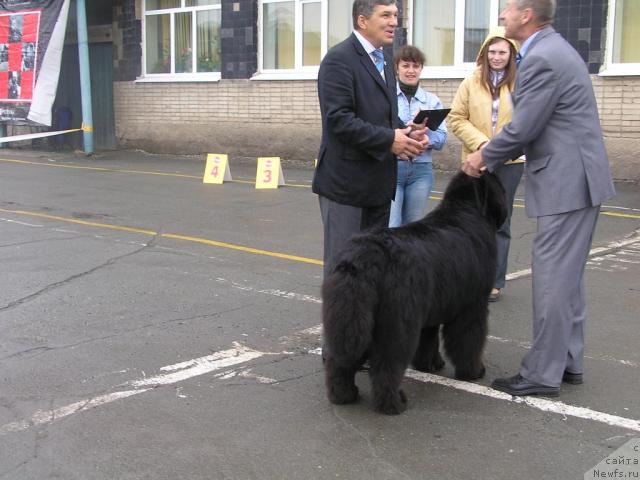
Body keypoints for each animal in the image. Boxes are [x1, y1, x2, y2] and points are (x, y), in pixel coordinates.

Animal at [322, 171, 508, 414]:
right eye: (501, 187)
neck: (467, 209)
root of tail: (363, 257)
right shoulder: (472, 307)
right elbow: (470, 341)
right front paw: (474, 371)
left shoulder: (434, 306)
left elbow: (428, 339)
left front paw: (430, 364)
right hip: (396, 325)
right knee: (387, 366)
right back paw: (394, 403)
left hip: (353, 317)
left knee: (339, 360)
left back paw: (343, 395)